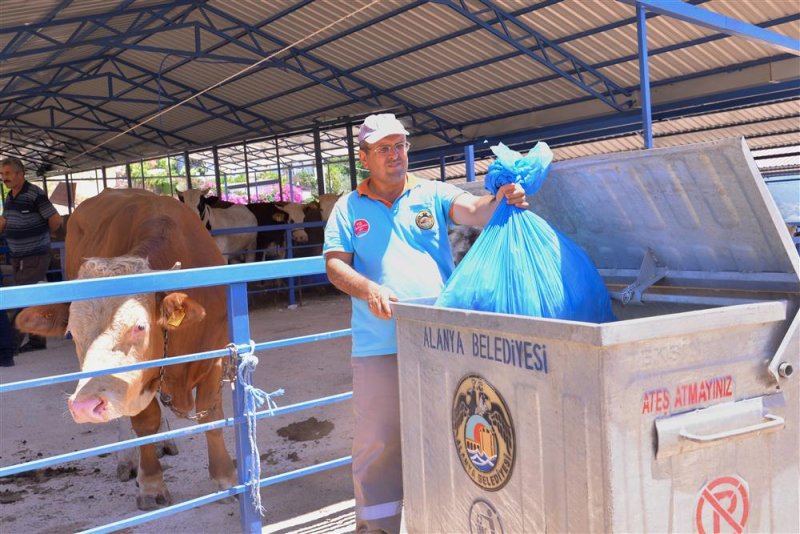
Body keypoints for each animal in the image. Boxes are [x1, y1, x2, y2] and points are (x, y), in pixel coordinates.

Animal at [16, 191, 234, 512]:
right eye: (71, 333)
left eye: (139, 326)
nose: (84, 407)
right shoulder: (132, 381)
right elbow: (143, 422)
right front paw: (151, 483)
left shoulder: (214, 357)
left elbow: (211, 414)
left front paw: (225, 476)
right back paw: (129, 459)